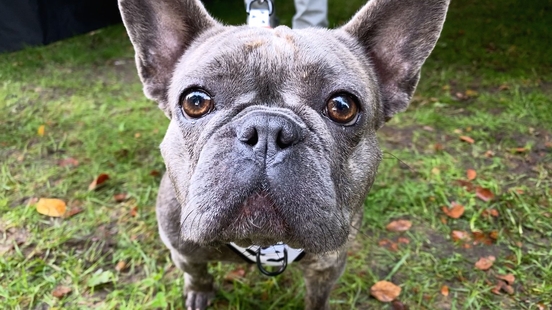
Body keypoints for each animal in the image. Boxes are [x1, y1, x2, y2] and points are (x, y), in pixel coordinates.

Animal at [117, 0, 448, 308]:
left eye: (343, 106)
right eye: (195, 101)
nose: (267, 129)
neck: (265, 244)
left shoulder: (328, 265)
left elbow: (317, 297)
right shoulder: (183, 251)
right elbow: (197, 273)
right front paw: (199, 292)